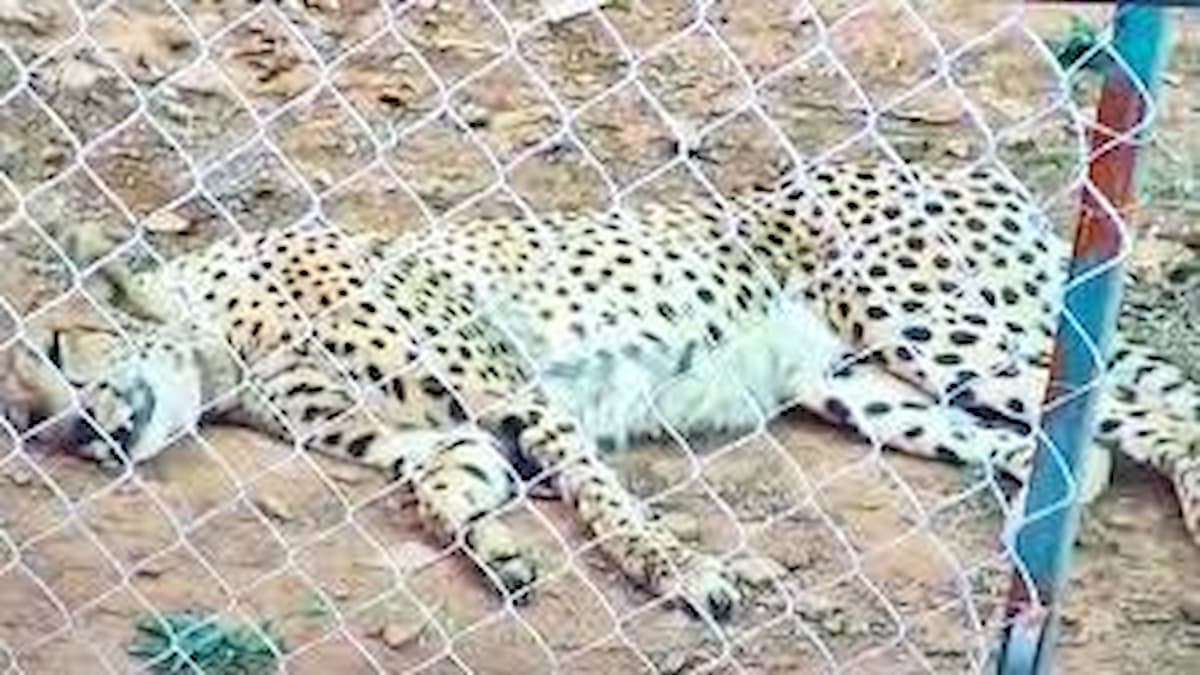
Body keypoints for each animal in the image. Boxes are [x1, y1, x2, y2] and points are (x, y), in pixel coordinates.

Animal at [5, 160, 1199, 622]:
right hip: (860, 385)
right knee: (1087, 447)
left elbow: (602, 499)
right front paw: (499, 552)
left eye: (59, 349)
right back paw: (1039, 503)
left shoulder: (514, 388)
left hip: (948, 328)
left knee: (1158, 411)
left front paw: (677, 573)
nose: (75, 436)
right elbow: (440, 492)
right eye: (21, 420)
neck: (224, 342)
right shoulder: (454, 435)